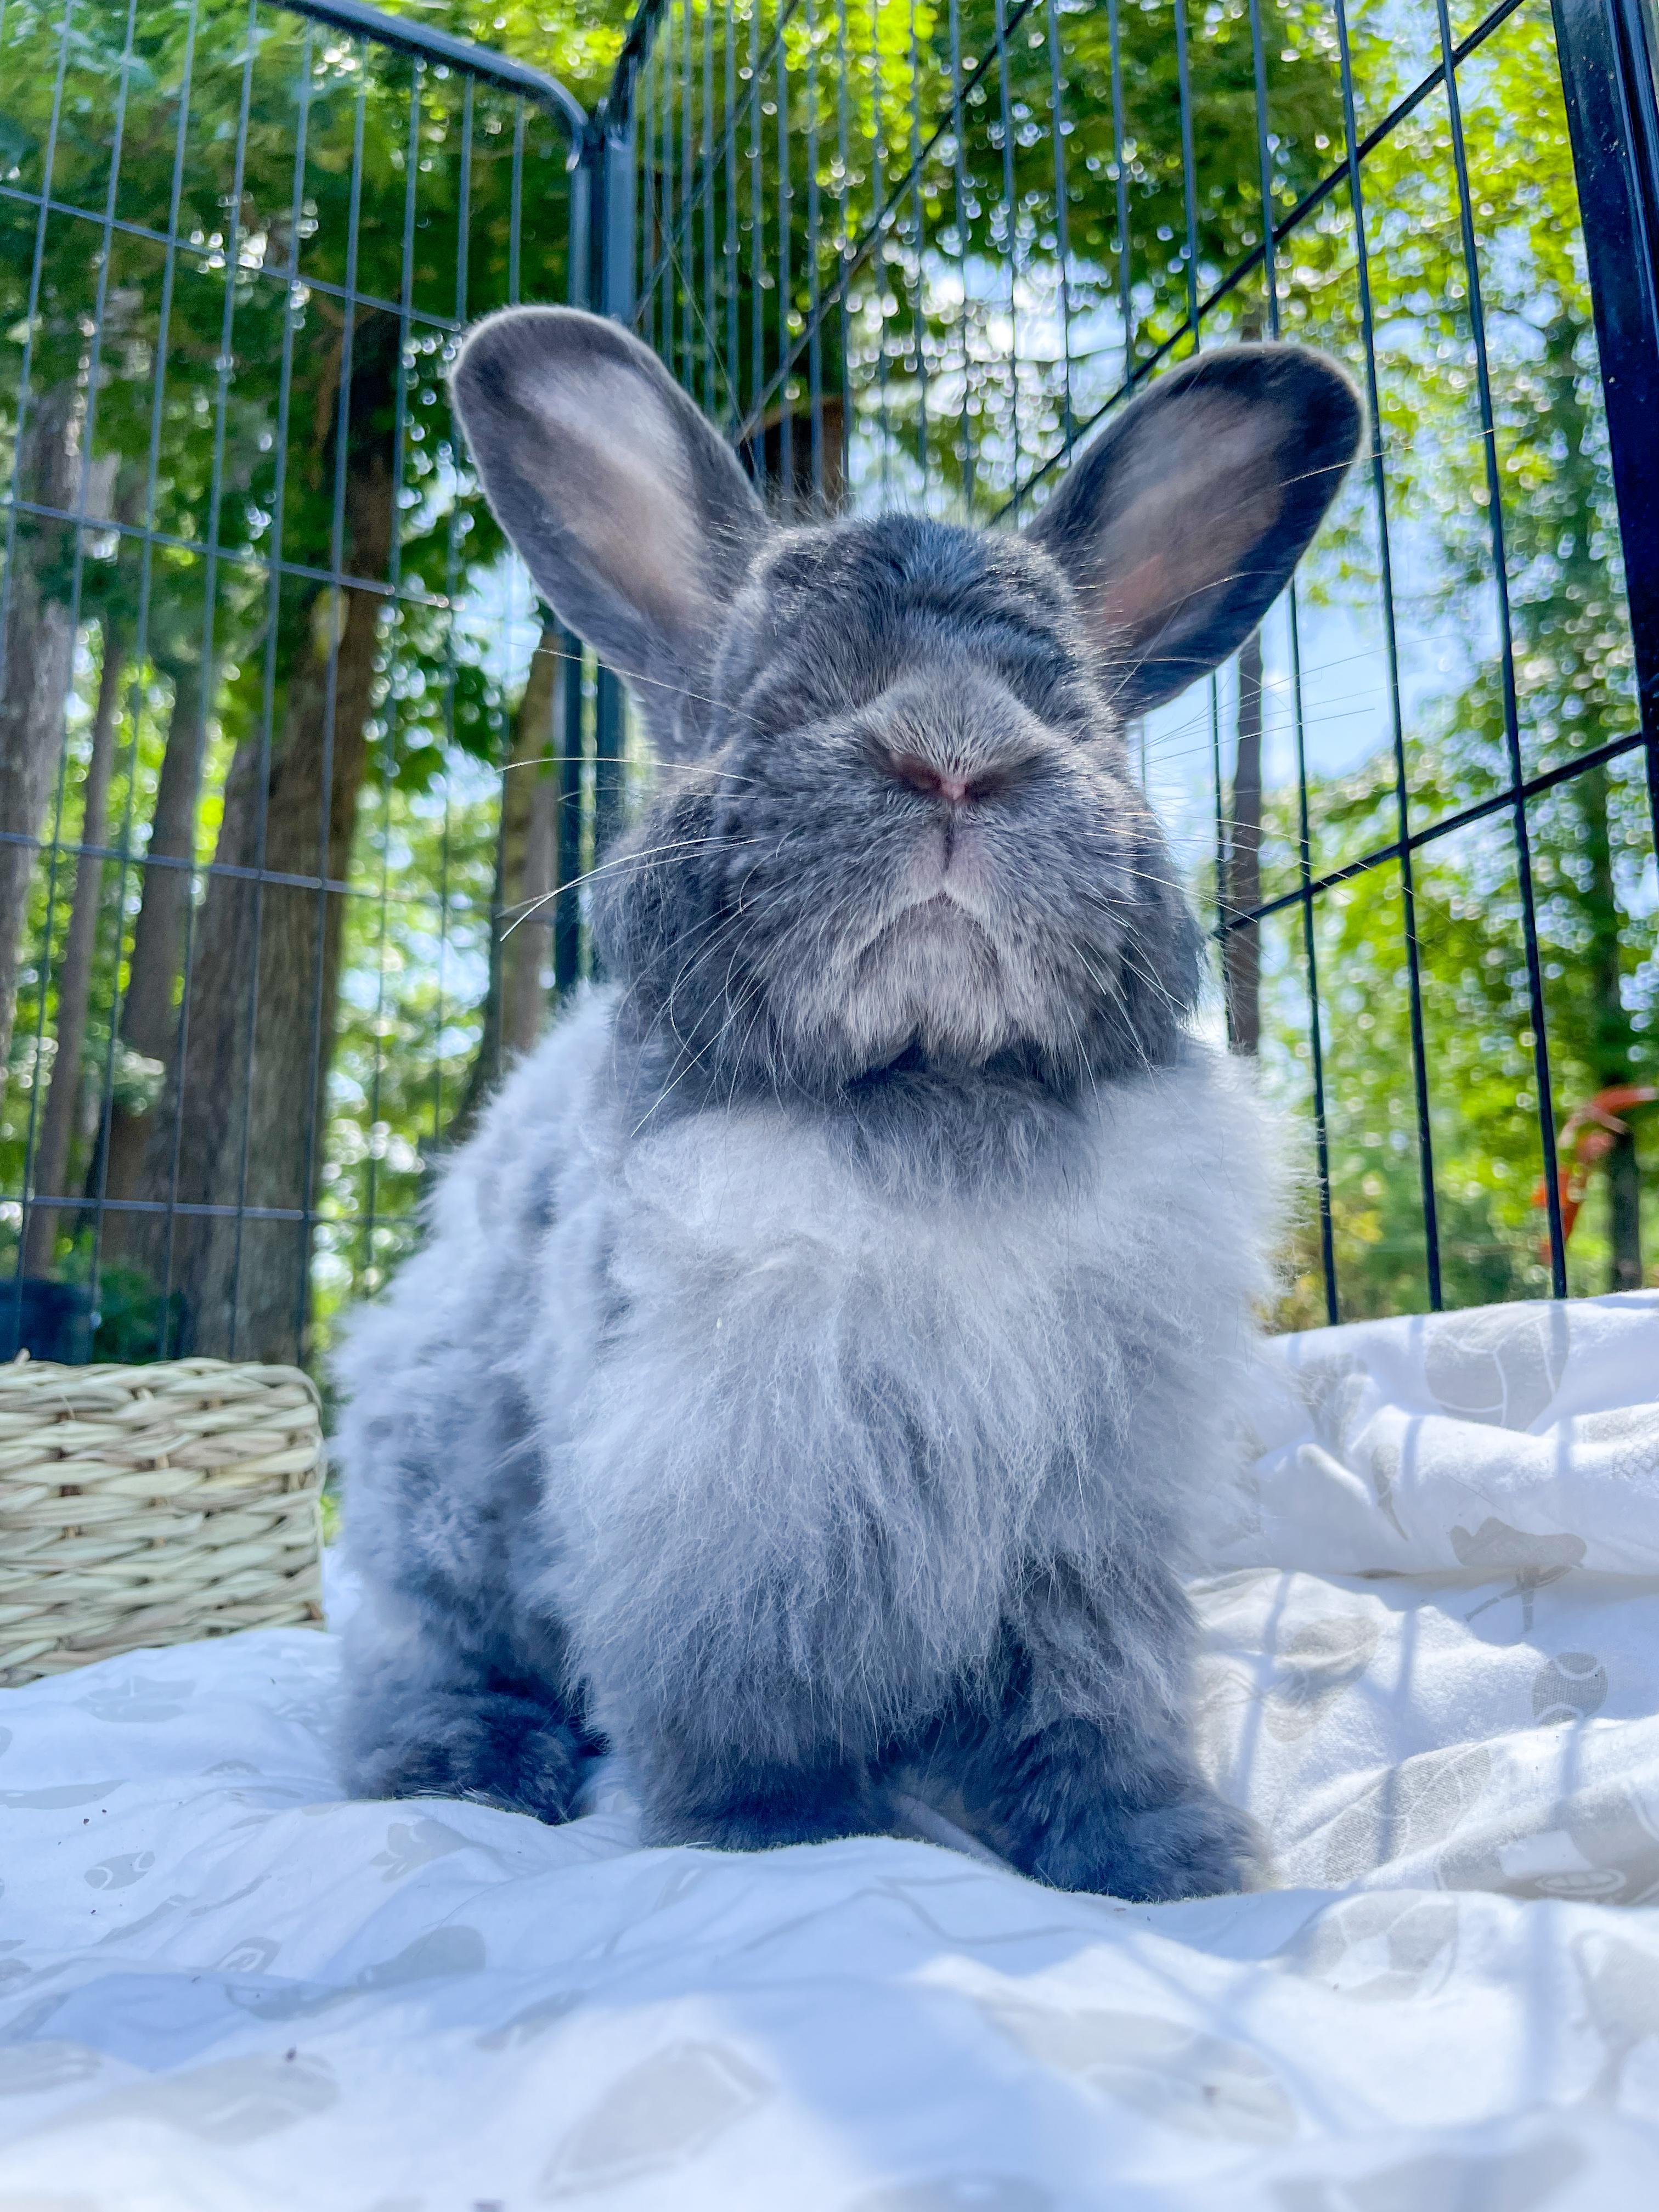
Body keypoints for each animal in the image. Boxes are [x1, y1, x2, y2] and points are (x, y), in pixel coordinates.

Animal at [334, 306, 1361, 1900]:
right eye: (779, 697)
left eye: (1072, 715)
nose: (955, 756)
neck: (930, 1085)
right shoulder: (745, 1483)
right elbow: (762, 1682)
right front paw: (789, 1837)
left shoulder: (1087, 1511)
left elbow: (1091, 1693)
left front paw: (1161, 1855)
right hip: (441, 1489)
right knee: (420, 1653)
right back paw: (463, 1763)